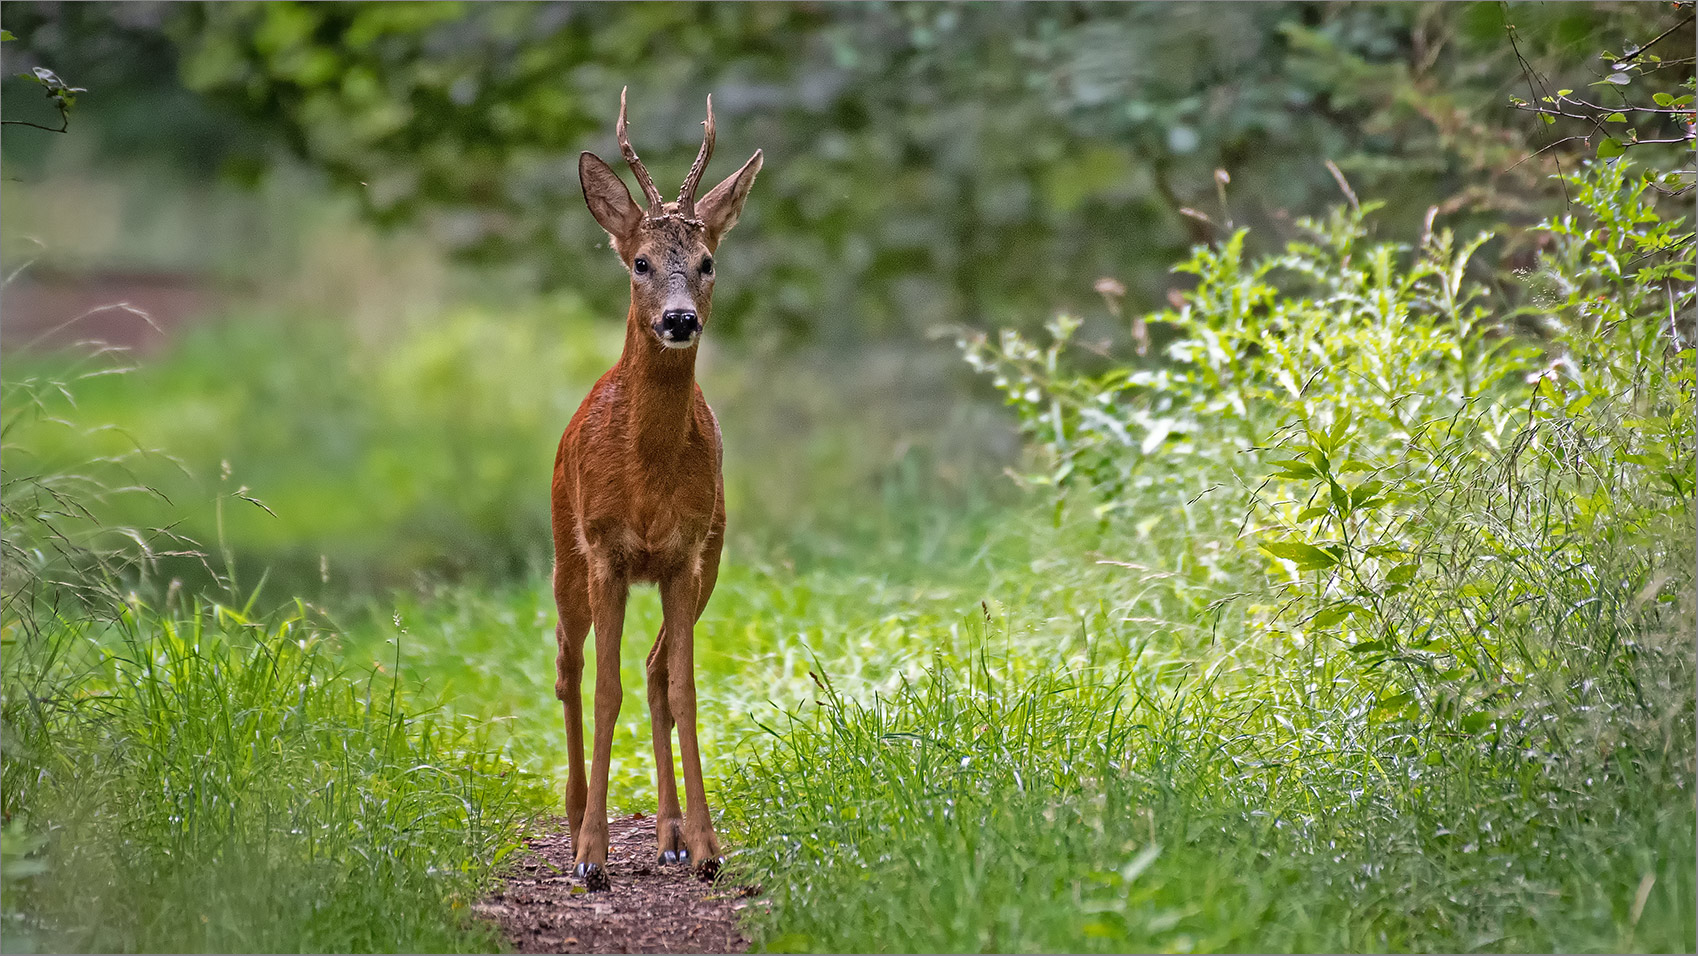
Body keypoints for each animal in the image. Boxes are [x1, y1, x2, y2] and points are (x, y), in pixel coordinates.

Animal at [550, 89, 764, 889]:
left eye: (708, 262)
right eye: (640, 261)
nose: (679, 318)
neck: (646, 473)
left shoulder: (685, 553)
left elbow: (682, 686)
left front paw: (705, 847)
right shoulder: (608, 552)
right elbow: (604, 689)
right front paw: (591, 855)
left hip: (713, 556)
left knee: (650, 670)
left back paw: (669, 834)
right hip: (566, 553)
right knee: (570, 667)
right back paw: (575, 817)